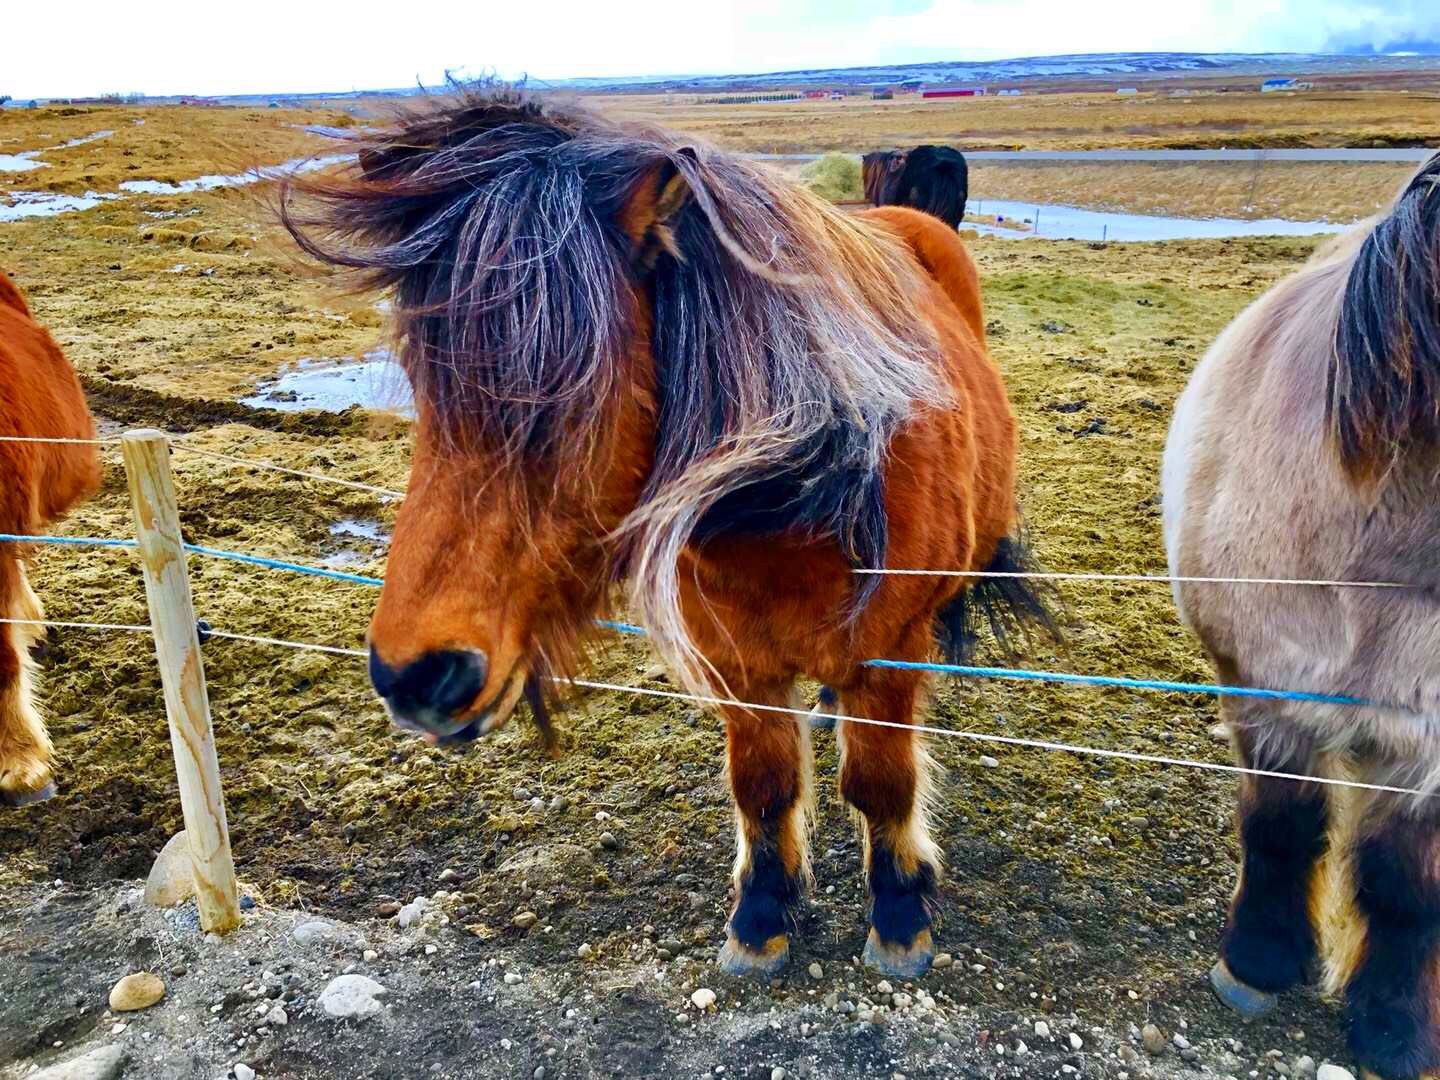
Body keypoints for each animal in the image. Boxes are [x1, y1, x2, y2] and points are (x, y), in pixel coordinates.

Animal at [280, 88, 1054, 979]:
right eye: (420, 381)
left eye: (573, 390)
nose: (414, 676)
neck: (796, 508)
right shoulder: (736, 662)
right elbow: (762, 783)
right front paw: (761, 917)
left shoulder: (886, 657)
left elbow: (880, 784)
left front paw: (899, 916)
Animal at [1163, 154, 1440, 1080]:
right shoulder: (1265, 691)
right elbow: (1282, 827)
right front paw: (1257, 963)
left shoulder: (1427, 748)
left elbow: (1405, 886)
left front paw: (1395, 1028)